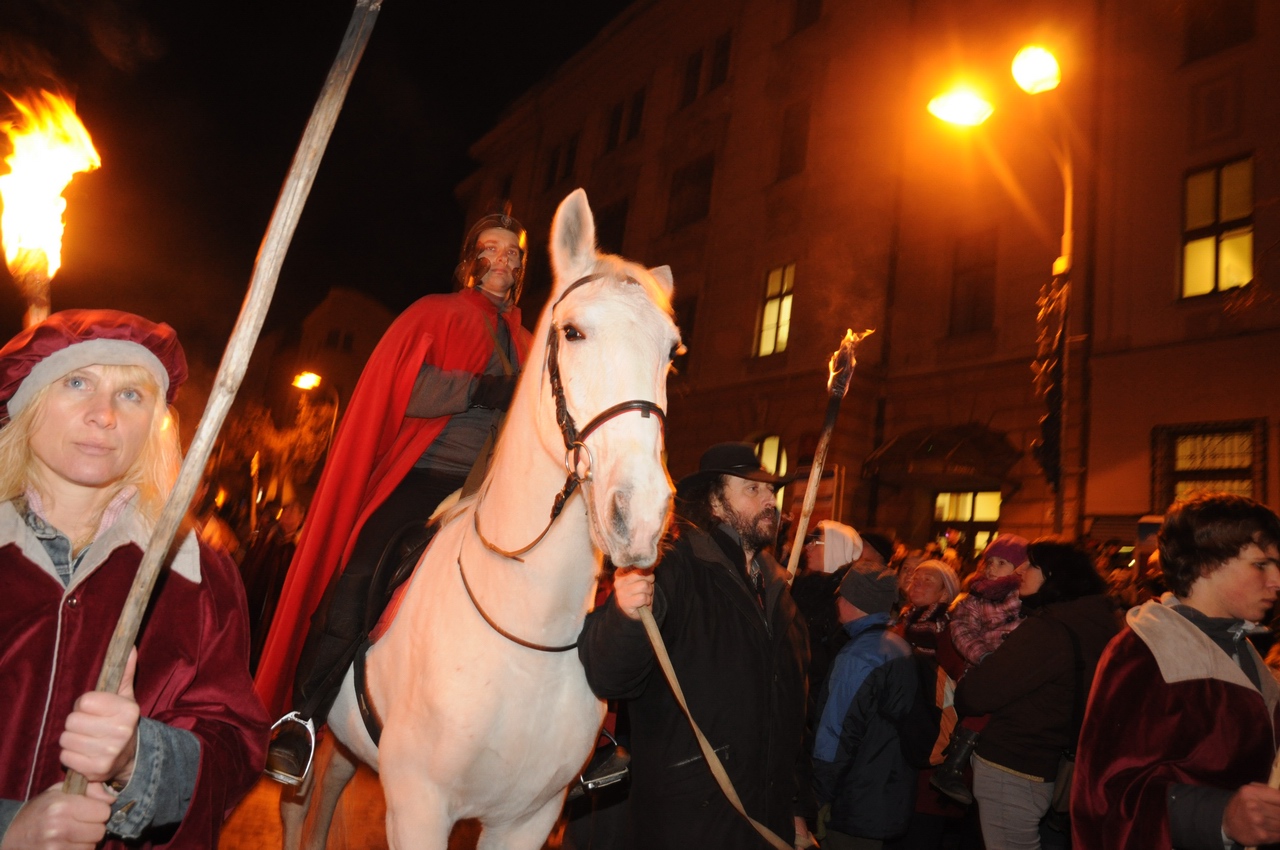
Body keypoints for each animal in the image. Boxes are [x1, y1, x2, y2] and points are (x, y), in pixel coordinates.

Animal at [281, 188, 682, 850]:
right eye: (572, 331)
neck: (523, 629)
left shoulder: (530, 819)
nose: (640, 515)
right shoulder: (418, 806)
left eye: (671, 352)